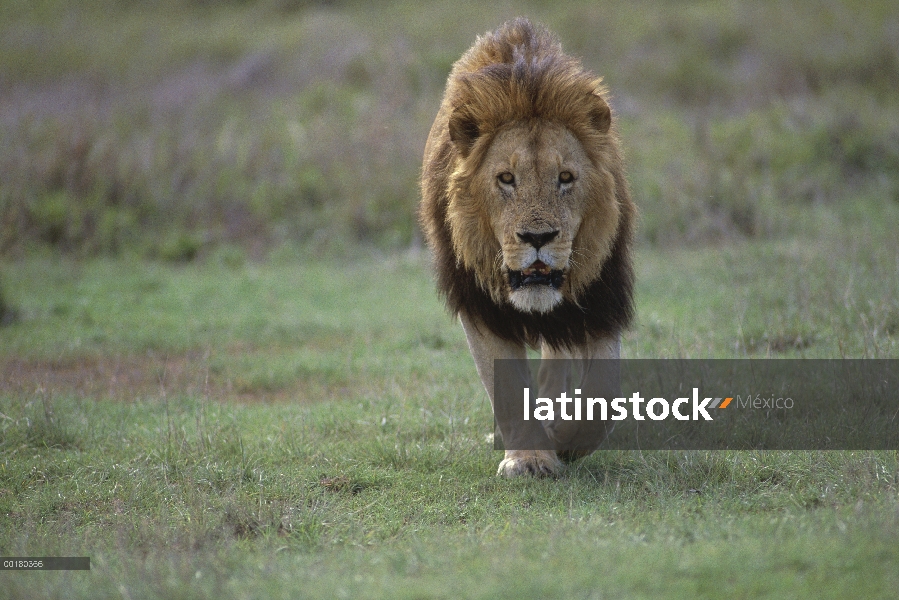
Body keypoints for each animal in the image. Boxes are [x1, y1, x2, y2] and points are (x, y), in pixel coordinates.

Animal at [420, 19, 636, 478]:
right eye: (506, 178)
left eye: (566, 177)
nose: (538, 238)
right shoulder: (481, 305)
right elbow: (505, 386)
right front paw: (530, 460)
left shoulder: (600, 299)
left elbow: (605, 393)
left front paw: (564, 440)